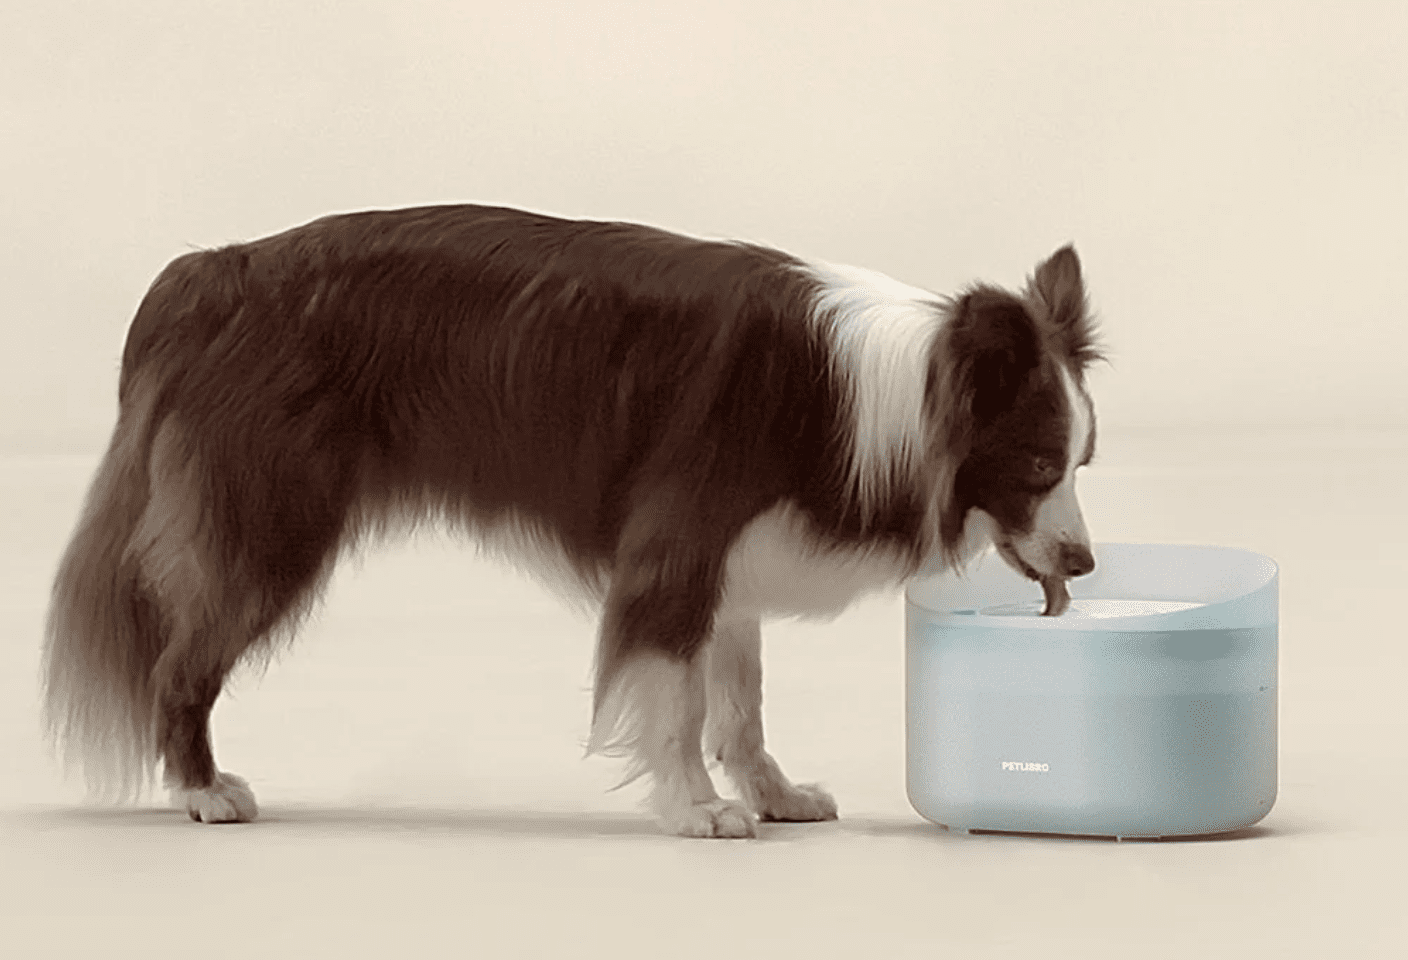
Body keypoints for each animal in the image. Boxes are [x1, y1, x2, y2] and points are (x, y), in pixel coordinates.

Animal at [38, 205, 1103, 833]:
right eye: (1038, 465)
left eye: (1084, 461)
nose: (1086, 561)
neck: (881, 393)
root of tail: (209, 270)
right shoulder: (677, 541)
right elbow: (678, 702)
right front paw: (697, 810)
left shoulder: (737, 558)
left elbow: (742, 699)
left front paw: (772, 794)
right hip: (270, 517)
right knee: (180, 663)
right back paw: (200, 789)